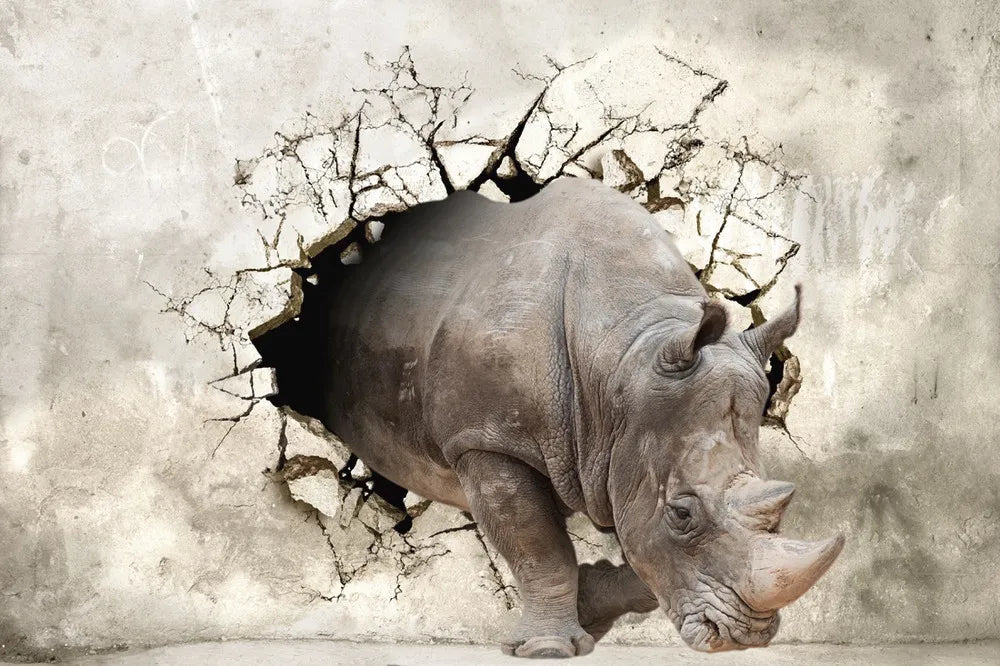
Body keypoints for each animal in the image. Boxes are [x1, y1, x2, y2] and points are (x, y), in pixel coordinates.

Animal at [320, 176, 844, 657]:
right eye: (681, 514)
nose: (743, 638)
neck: (621, 359)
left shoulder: (625, 449)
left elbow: (640, 550)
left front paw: (588, 608)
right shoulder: (487, 438)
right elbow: (539, 546)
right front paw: (547, 649)